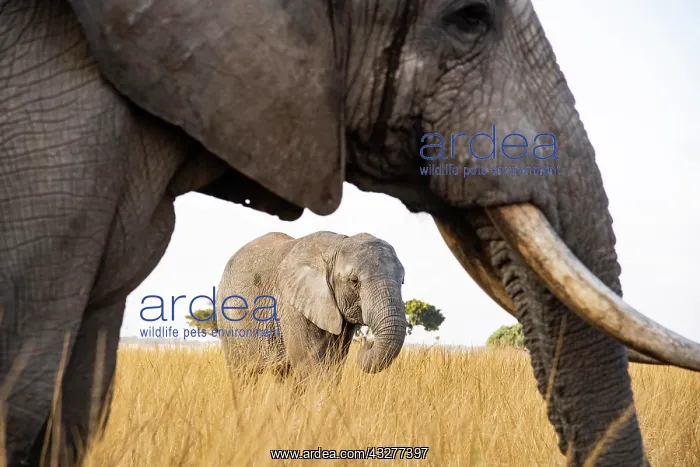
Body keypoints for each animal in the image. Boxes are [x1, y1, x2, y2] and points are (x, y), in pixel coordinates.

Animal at [212, 231, 407, 379]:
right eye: (354, 281)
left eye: (402, 281)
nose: (368, 344)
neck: (336, 246)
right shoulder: (292, 305)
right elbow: (312, 367)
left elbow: (333, 366)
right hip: (227, 319)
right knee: (243, 374)